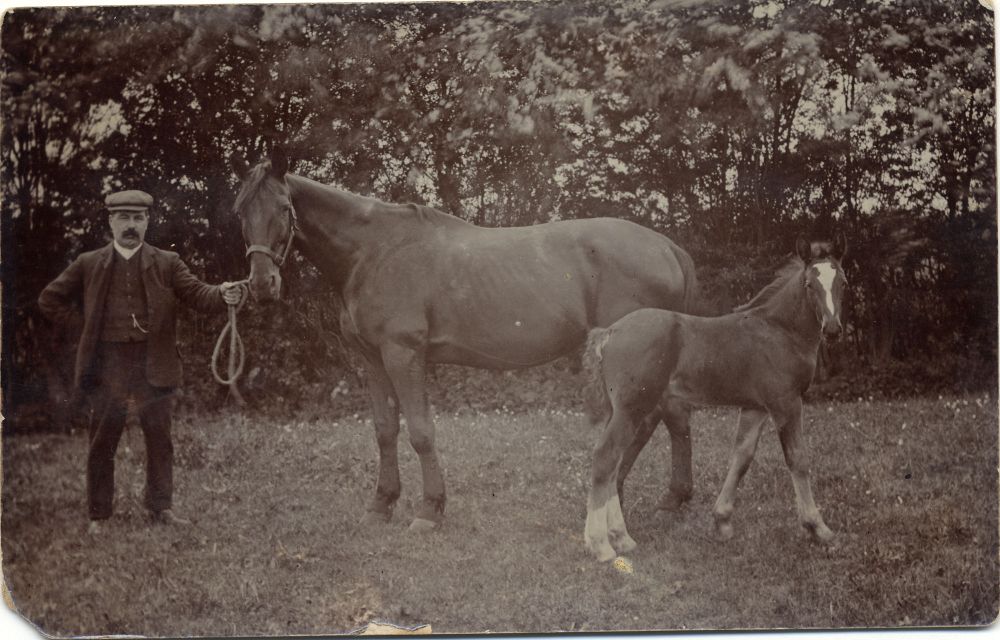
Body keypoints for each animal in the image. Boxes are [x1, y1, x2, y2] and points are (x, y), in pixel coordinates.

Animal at [232, 149, 704, 528]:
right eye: (240, 211)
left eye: (283, 208)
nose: (262, 284)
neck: (374, 251)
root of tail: (667, 247)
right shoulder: (372, 359)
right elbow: (385, 430)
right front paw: (381, 505)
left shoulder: (404, 354)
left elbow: (420, 431)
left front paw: (429, 510)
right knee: (670, 419)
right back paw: (662, 498)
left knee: (648, 421)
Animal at [584, 236, 848, 560]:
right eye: (810, 284)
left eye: (843, 282)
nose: (833, 330)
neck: (779, 330)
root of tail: (610, 332)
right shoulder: (785, 403)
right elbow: (797, 459)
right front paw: (818, 528)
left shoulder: (755, 407)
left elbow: (742, 457)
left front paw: (722, 522)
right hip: (632, 408)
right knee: (606, 457)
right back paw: (602, 545)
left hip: (623, 410)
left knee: (615, 461)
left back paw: (621, 538)